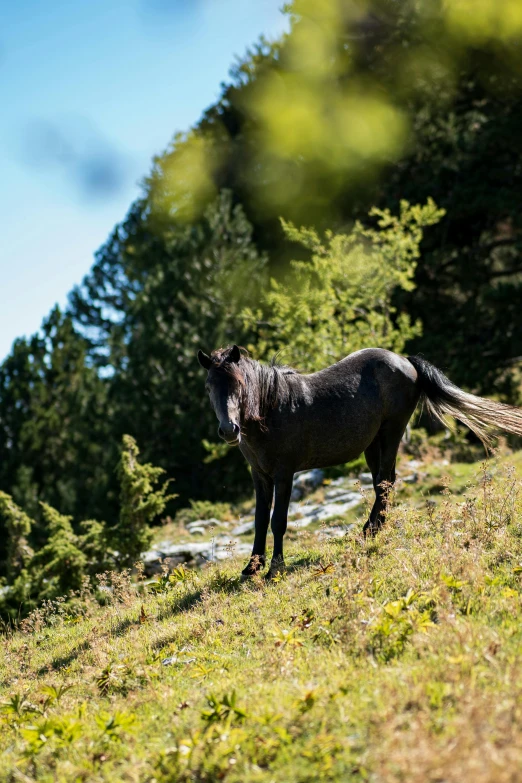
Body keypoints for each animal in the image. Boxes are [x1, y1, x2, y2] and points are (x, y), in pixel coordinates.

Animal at [196, 346, 520, 580]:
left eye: (239, 384)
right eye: (209, 386)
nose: (229, 430)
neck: (270, 411)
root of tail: (406, 361)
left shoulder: (284, 474)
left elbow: (278, 520)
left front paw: (275, 568)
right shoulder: (260, 475)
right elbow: (260, 519)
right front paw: (252, 567)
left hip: (392, 431)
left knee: (386, 481)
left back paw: (371, 530)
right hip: (373, 442)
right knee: (382, 482)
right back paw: (371, 529)